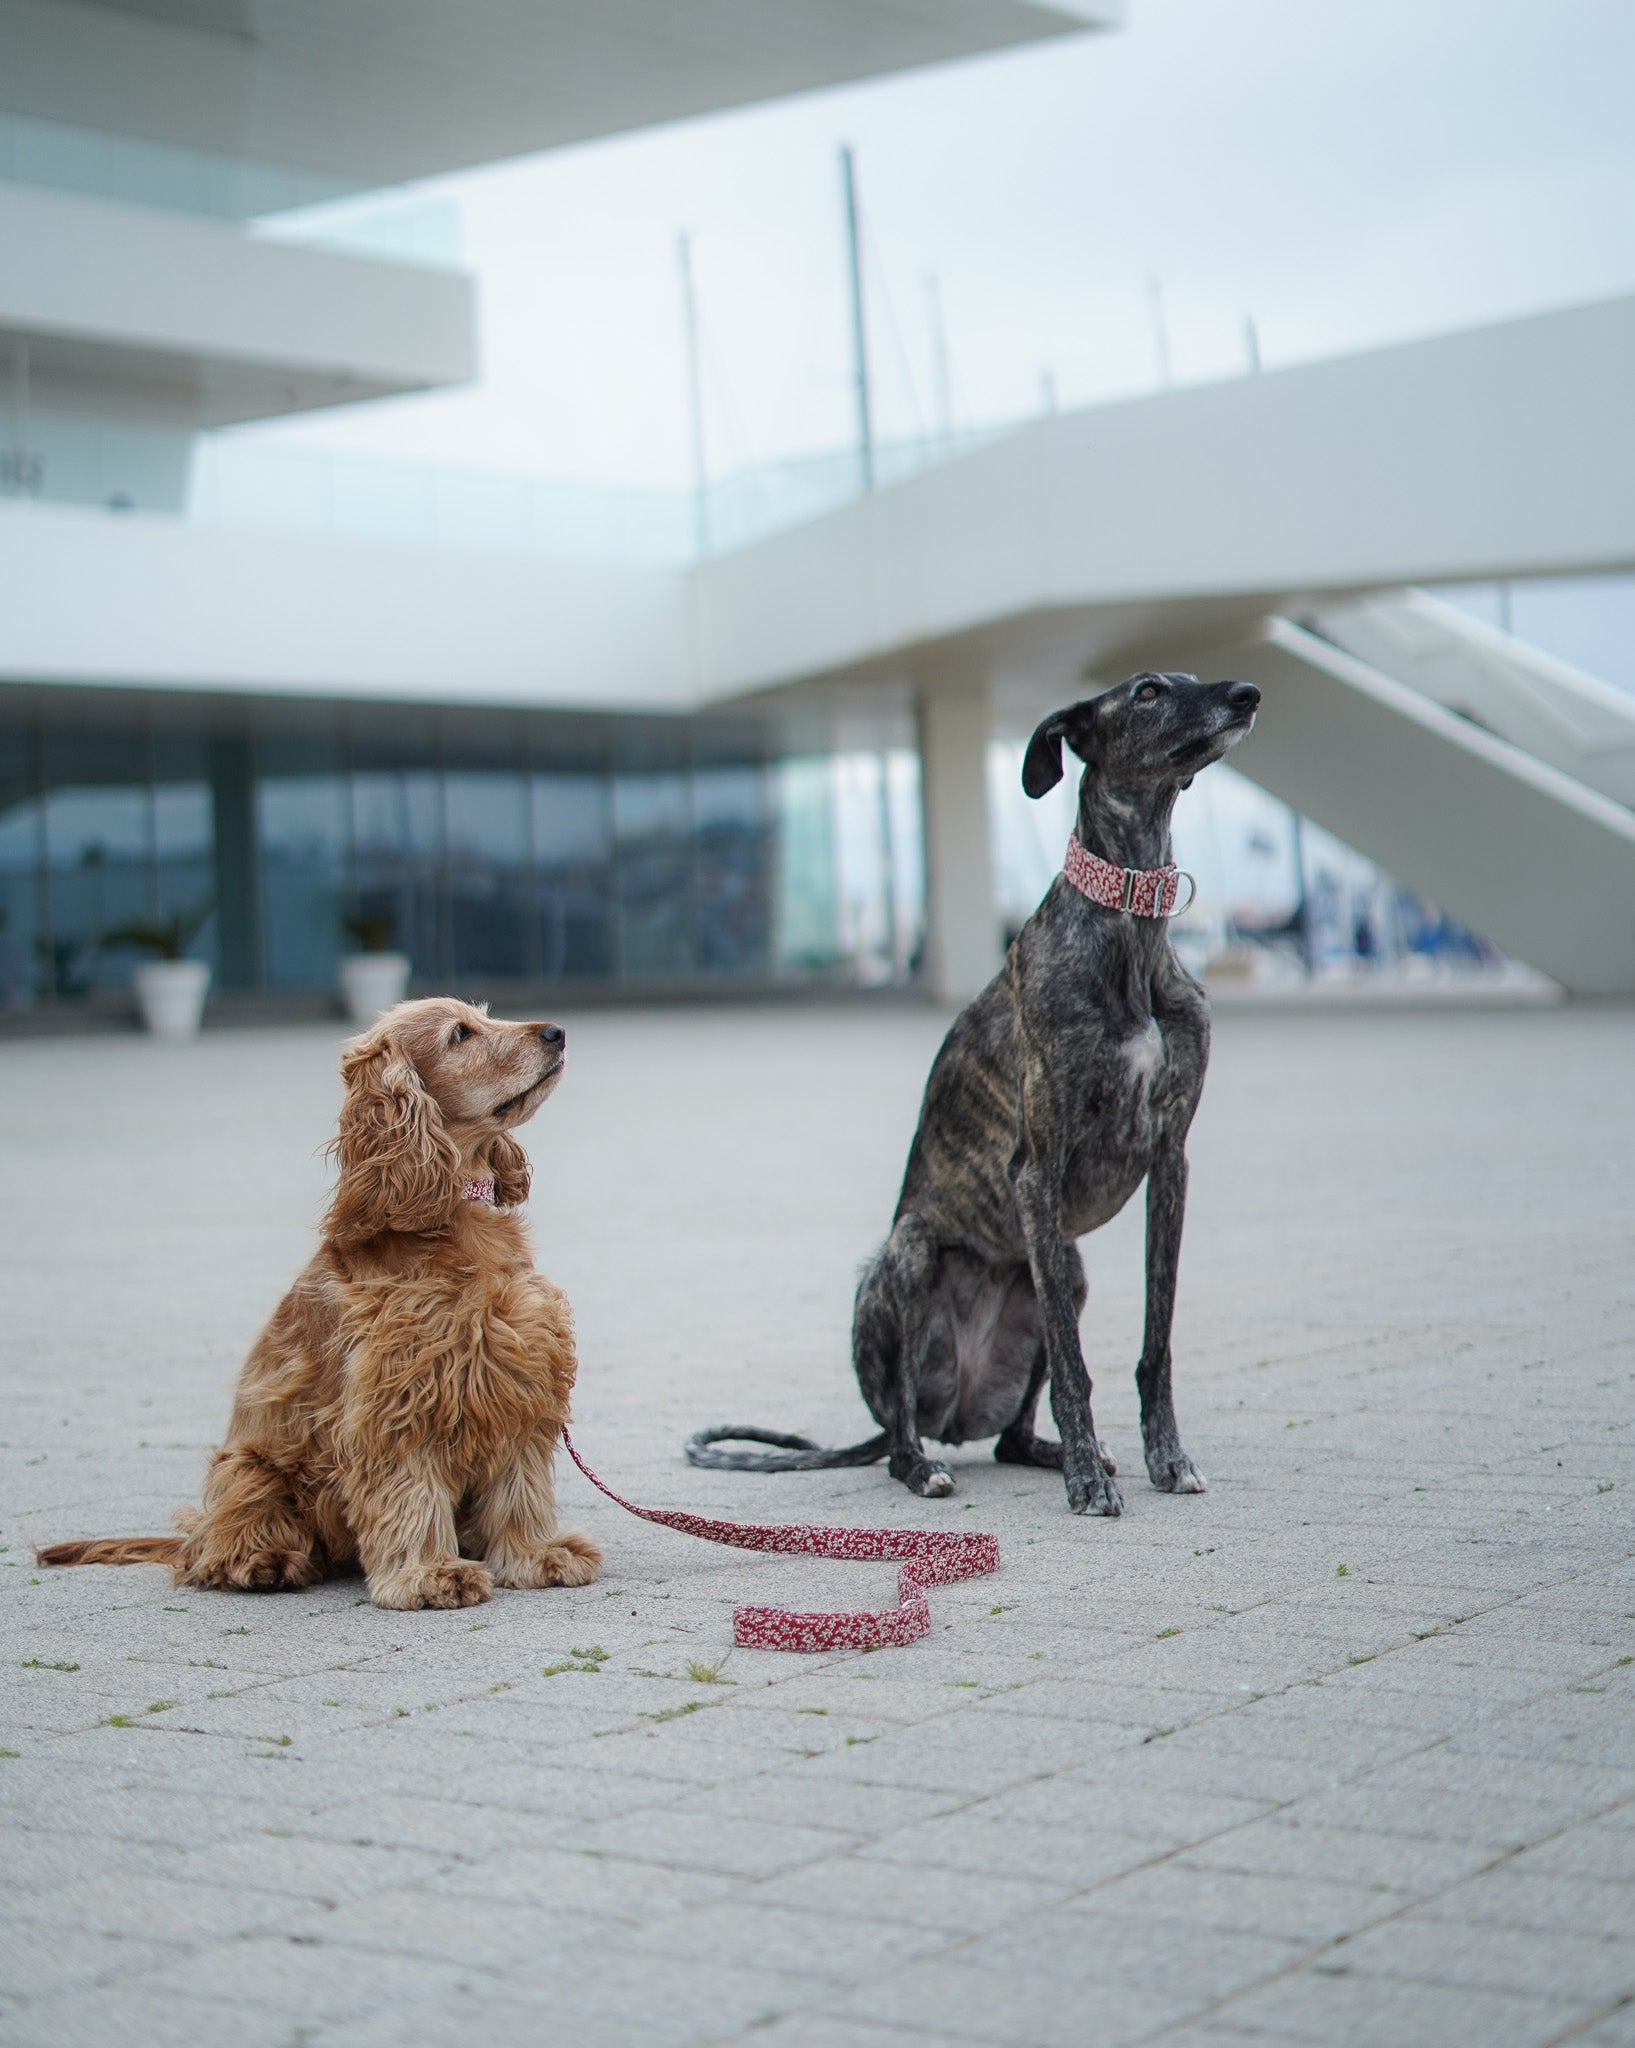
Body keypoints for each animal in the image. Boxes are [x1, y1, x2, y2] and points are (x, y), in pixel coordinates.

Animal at [38, 998, 600, 1608]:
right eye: (459, 1035)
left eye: (483, 1017)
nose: (558, 1031)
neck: (454, 1220)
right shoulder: (397, 1401)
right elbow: (411, 1492)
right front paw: (429, 1573)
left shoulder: (517, 1383)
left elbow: (520, 1487)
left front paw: (537, 1554)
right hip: (249, 1468)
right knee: (214, 1549)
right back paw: (264, 1562)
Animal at [687, 671, 1259, 1514]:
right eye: (1149, 691)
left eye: (1188, 677)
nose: (1247, 694)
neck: (1127, 934)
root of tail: (949, 1410)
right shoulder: (1037, 1167)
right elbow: (1077, 1368)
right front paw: (1089, 1485)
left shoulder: (1170, 1161)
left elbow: (1153, 1343)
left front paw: (1164, 1457)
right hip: (907, 1258)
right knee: (898, 1431)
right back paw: (929, 1464)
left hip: (1063, 1269)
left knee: (1010, 1433)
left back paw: (1047, 1452)